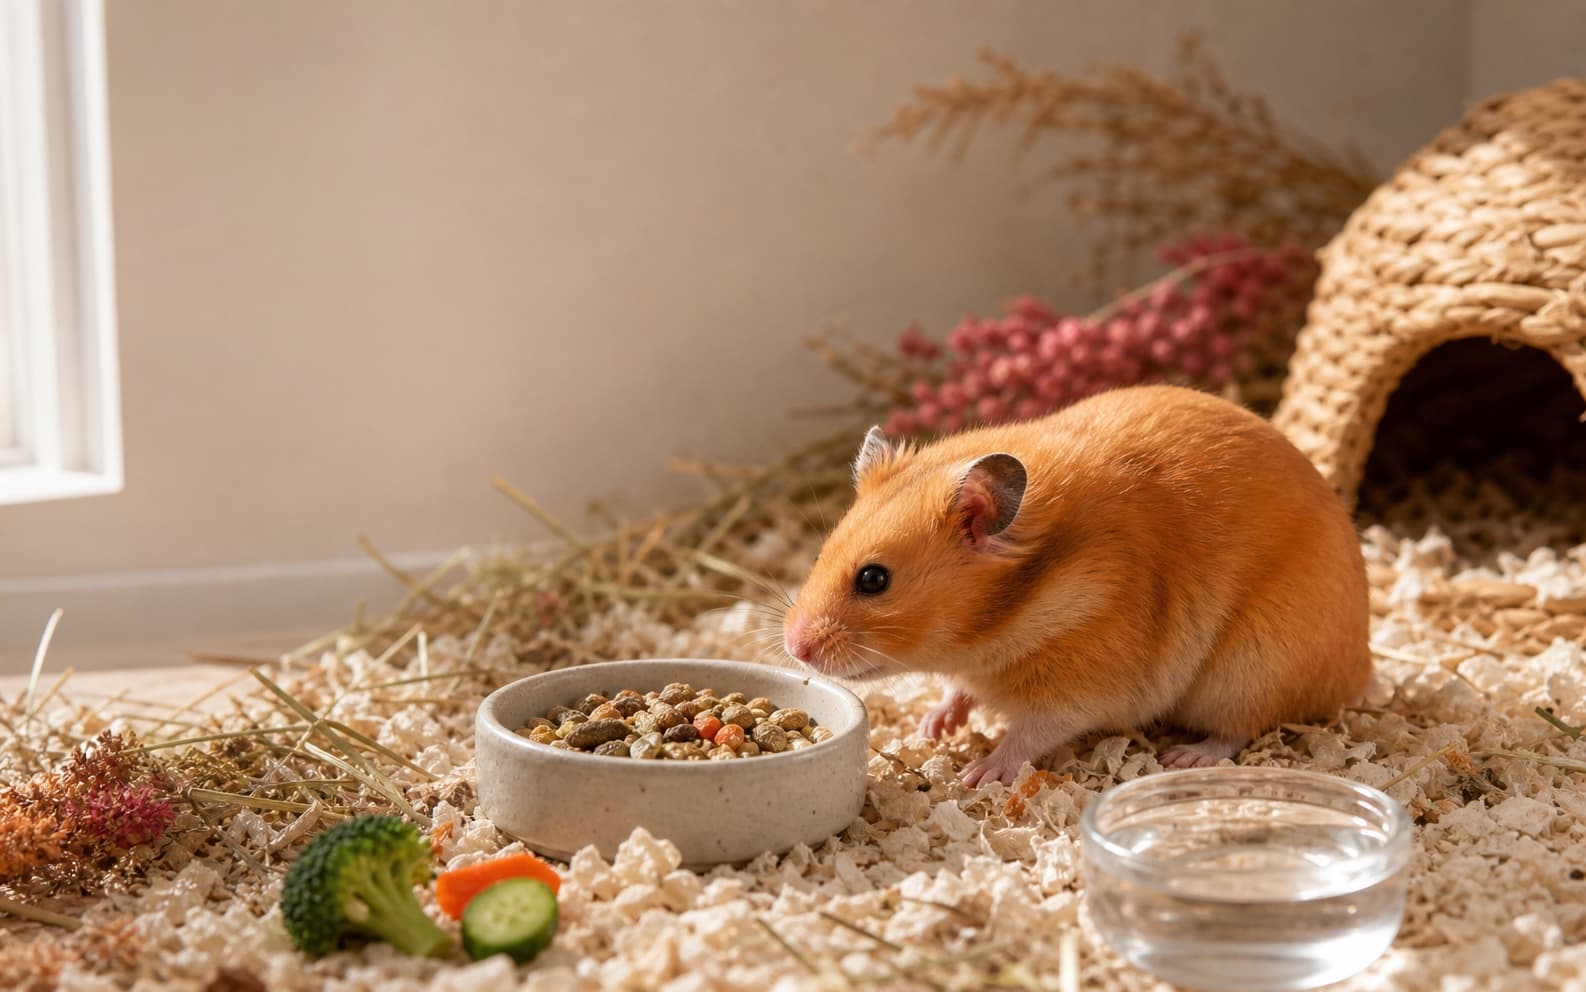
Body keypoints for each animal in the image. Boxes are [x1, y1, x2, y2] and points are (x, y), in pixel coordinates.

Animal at [782, 384, 1371, 786]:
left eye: (873, 579)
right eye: (823, 551)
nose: (794, 647)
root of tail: (1358, 667)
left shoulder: (1083, 688)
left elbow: (1030, 734)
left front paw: (977, 773)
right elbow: (958, 690)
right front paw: (934, 727)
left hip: (1252, 669)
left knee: (1239, 729)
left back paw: (1184, 757)